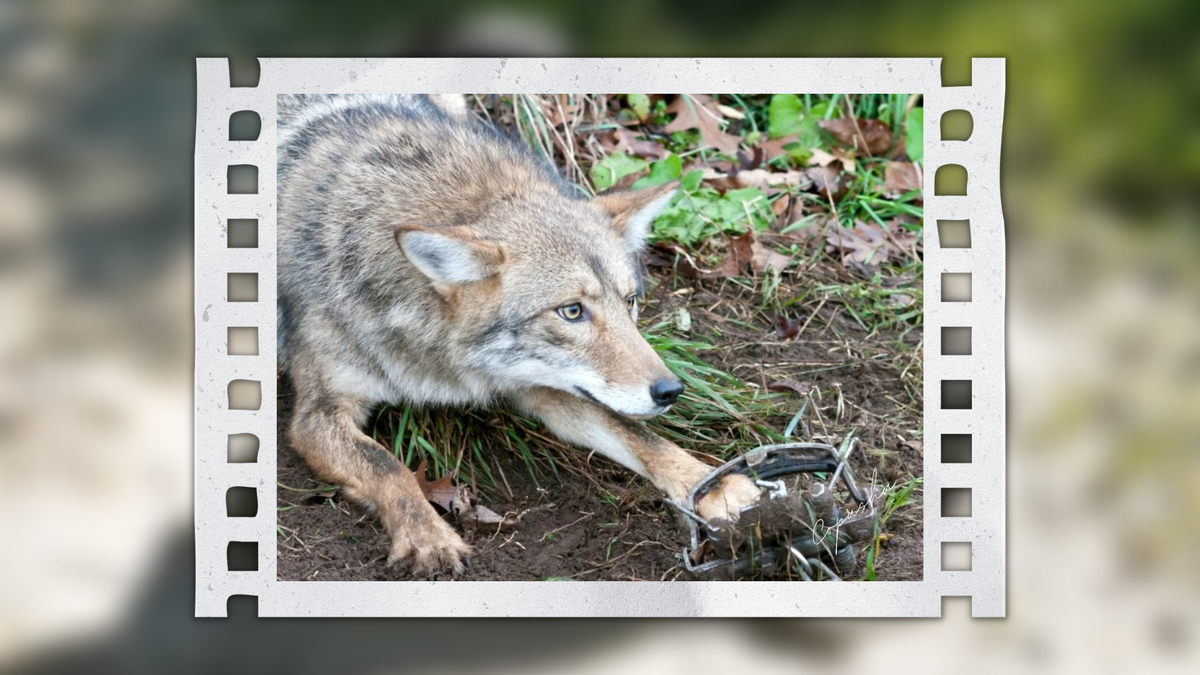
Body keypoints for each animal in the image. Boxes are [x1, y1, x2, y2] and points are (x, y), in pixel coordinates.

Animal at [276, 94, 758, 576]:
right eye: (572, 311)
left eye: (630, 302)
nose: (670, 391)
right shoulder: (316, 417)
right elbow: (387, 465)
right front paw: (428, 537)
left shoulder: (540, 385)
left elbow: (637, 435)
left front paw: (717, 487)